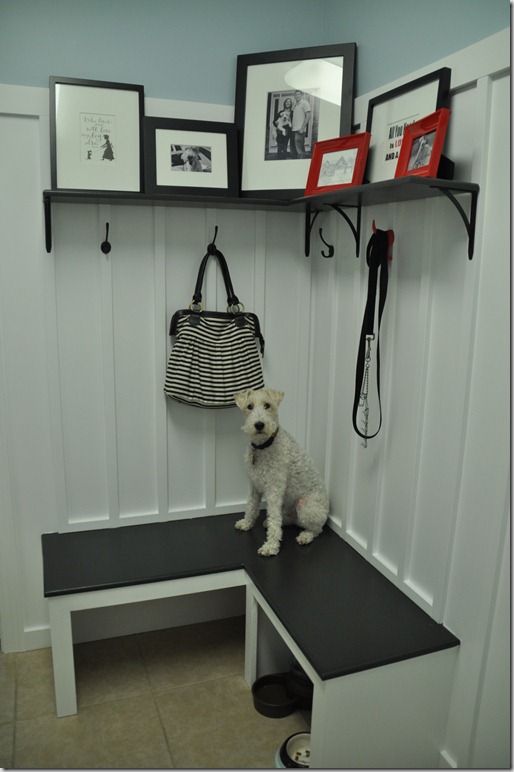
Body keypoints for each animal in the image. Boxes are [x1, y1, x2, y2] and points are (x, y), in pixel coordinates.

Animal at [233, 386, 328, 556]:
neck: (264, 446)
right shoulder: (254, 485)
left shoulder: (274, 489)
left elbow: (274, 519)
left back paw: (305, 536)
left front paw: (270, 546)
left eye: (267, 405)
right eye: (249, 406)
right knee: (288, 519)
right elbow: (251, 506)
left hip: (305, 505)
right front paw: (246, 523)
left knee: (317, 529)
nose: (259, 425)